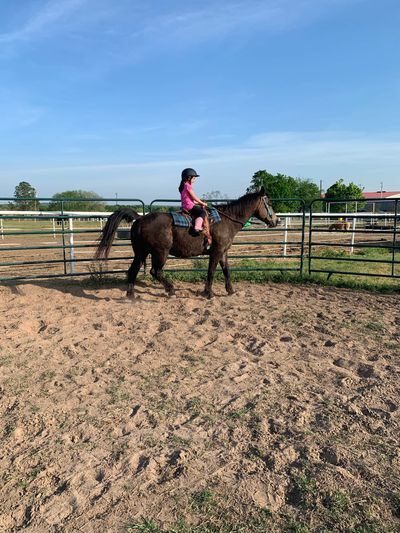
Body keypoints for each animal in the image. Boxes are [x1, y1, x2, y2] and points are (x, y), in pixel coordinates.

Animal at [95, 187, 278, 298]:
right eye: (269, 202)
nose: (276, 221)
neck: (226, 221)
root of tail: (140, 218)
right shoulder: (216, 251)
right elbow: (211, 272)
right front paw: (209, 293)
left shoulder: (223, 252)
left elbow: (226, 271)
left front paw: (230, 291)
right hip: (160, 252)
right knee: (155, 271)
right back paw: (171, 290)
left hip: (141, 252)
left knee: (132, 270)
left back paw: (131, 295)